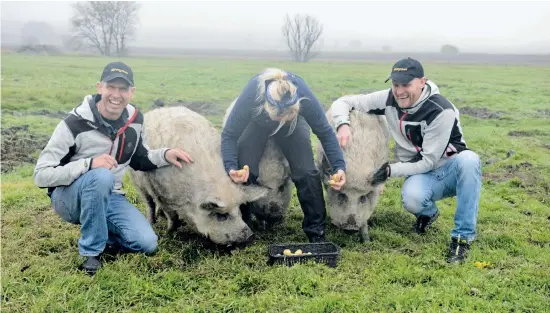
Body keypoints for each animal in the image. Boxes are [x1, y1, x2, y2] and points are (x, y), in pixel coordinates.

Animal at [129, 106, 268, 245]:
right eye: (221, 215)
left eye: (239, 209)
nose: (250, 235)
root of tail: (157, 110)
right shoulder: (159, 193)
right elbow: (172, 217)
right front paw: (169, 232)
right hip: (138, 183)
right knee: (149, 203)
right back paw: (152, 221)